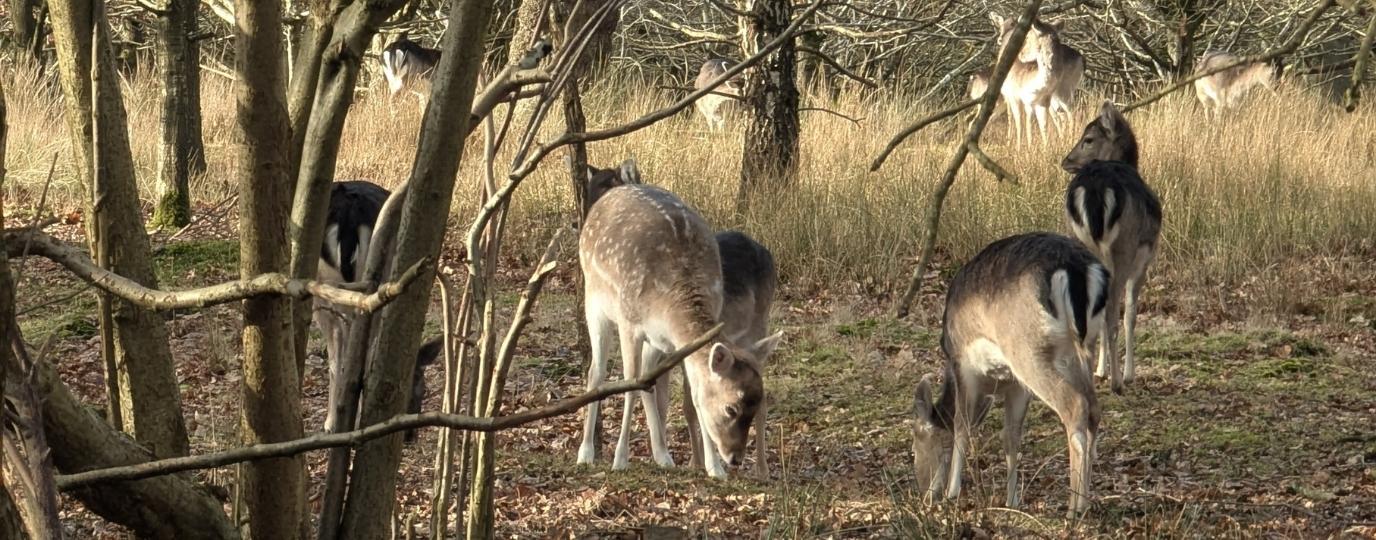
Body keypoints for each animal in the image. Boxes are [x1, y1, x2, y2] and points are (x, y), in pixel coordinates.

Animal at [578, 181, 771, 478]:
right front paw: (620, 460)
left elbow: (693, 395)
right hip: (594, 301)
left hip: (654, 341)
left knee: (647, 380)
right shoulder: (629, 322)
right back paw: (586, 452)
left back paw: (663, 455)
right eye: (731, 408)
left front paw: (714, 468)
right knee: (596, 373)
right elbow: (629, 385)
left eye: (757, 400)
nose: (735, 458)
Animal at [912, 232, 1108, 516]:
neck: (992, 384)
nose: (924, 494)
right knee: (1093, 408)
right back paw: (1087, 501)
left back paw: (1074, 508)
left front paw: (952, 493)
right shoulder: (1016, 385)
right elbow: (1011, 436)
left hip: (1027, 350)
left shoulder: (963, 365)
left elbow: (961, 426)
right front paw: (1012, 501)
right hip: (1080, 349)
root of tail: (1078, 269)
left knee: (1075, 405)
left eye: (915, 443)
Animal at [1060, 101, 1162, 393]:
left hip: (1081, 243)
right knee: (1111, 316)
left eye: (1088, 139)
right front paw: (1127, 374)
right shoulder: (1146, 257)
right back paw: (1118, 382)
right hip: (1123, 248)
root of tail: (1095, 189)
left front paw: (1100, 371)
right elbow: (1130, 313)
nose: (1065, 161)